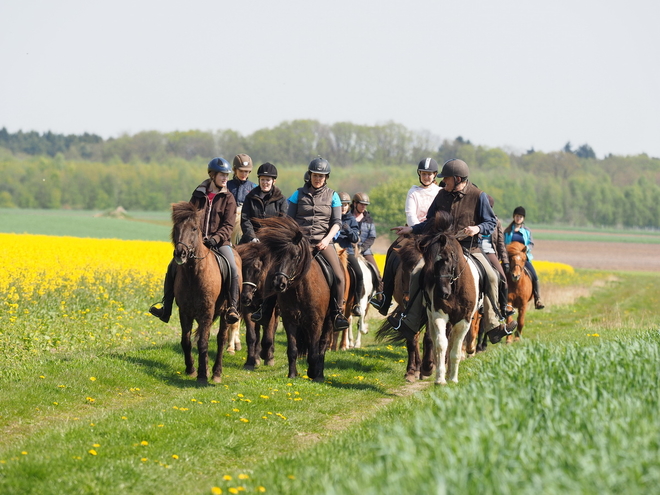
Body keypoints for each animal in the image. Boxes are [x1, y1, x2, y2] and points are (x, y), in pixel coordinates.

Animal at [170, 200, 242, 386]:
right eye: (177, 226)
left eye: (194, 228)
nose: (180, 253)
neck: (194, 274)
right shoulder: (185, 312)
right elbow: (186, 341)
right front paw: (191, 369)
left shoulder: (207, 312)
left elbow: (203, 342)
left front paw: (203, 374)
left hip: (225, 313)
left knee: (221, 339)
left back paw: (216, 372)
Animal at [235, 242, 278, 370]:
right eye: (241, 269)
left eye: (257, 270)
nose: (245, 297)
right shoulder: (248, 310)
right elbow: (251, 337)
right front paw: (250, 361)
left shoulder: (271, 312)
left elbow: (268, 336)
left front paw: (268, 357)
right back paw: (257, 357)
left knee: (272, 331)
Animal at [254, 215, 332, 382]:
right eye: (277, 256)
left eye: (295, 256)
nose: (279, 283)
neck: (299, 290)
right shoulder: (290, 320)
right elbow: (293, 349)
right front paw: (292, 375)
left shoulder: (316, 322)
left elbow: (314, 352)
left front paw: (313, 373)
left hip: (329, 321)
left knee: (322, 345)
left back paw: (320, 374)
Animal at [420, 211, 482, 386]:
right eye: (429, 261)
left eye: (448, 258)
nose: (443, 293)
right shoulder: (439, 316)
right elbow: (442, 345)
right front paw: (440, 379)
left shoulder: (464, 320)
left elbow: (455, 348)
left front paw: (453, 378)